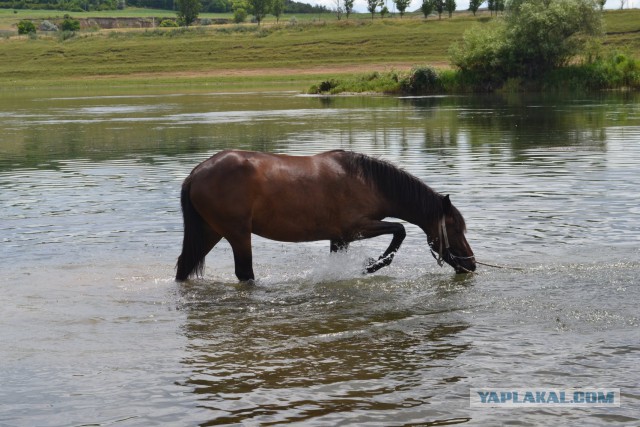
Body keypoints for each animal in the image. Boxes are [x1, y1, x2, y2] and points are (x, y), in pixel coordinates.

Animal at [175, 149, 476, 282]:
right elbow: (399, 230)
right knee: (244, 273)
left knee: (184, 267)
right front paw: (372, 265)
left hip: (211, 232)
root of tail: (196, 174)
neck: (365, 180)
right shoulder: (356, 228)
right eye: (454, 228)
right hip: (237, 234)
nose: (471, 264)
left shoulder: (340, 239)